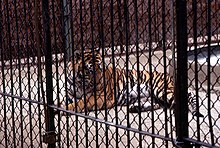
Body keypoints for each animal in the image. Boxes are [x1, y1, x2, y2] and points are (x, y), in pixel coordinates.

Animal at [63, 48, 205, 117]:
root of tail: (169, 76)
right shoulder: (69, 94)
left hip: (161, 89)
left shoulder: (100, 96)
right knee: (158, 104)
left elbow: (82, 102)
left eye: (101, 69)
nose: (100, 82)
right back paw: (135, 108)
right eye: (91, 71)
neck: (78, 81)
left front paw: (66, 109)